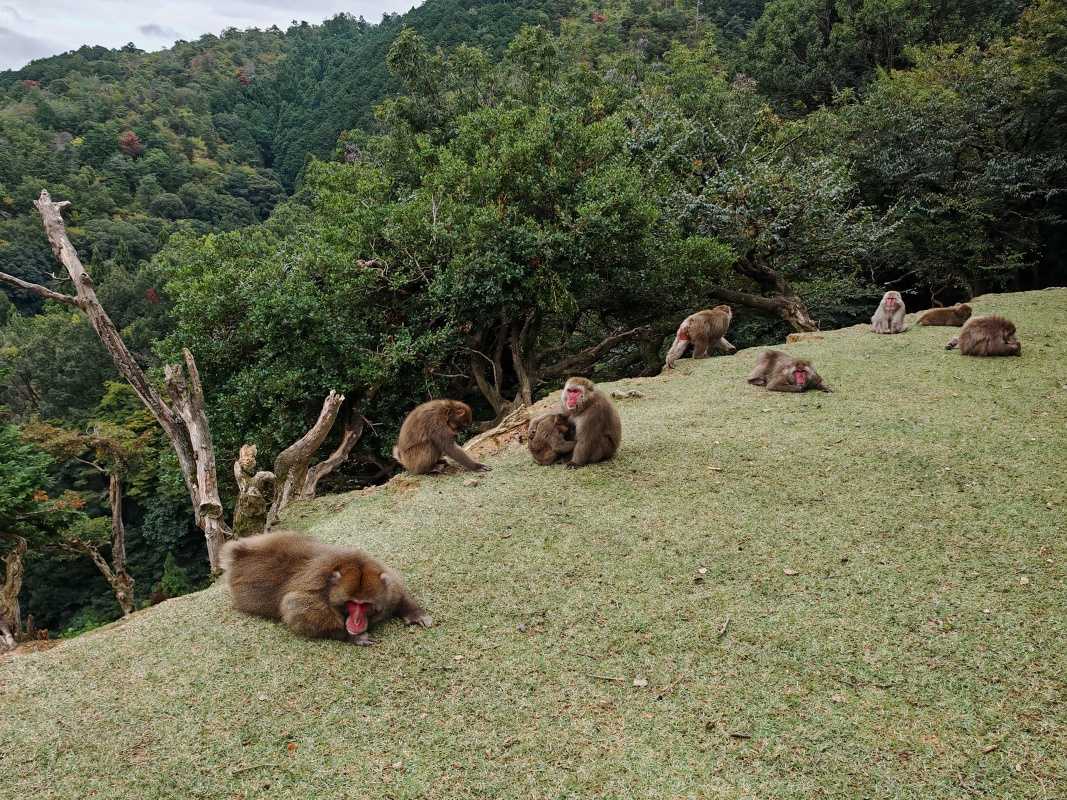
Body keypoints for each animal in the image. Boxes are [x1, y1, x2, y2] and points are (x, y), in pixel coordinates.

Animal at [220, 531, 432, 646]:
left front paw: (413, 612)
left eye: (364, 605)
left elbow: (396, 587)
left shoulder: (386, 586)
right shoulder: (317, 586)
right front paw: (350, 636)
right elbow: (295, 607)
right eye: (352, 603)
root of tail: (241, 553)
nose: (356, 622)